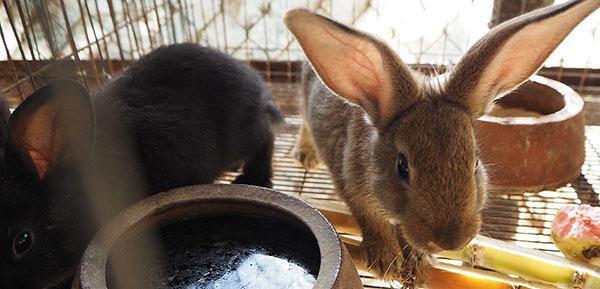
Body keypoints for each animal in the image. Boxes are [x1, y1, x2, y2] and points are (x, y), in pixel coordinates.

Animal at [284, 0, 600, 282]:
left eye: (475, 163)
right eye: (402, 167)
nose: (451, 241)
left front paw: (416, 260)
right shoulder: (353, 186)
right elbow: (371, 219)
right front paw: (386, 262)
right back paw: (306, 155)